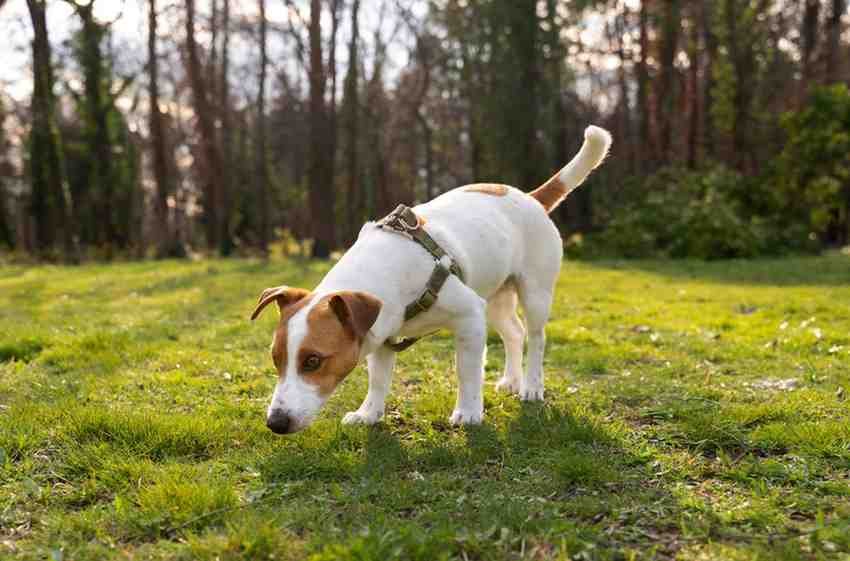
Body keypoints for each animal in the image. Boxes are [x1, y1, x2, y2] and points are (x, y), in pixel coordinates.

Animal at [250, 126, 608, 434]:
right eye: (275, 358)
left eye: (313, 361)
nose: (275, 423)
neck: (386, 270)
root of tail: (531, 197)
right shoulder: (383, 333)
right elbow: (378, 378)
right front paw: (369, 413)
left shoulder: (469, 317)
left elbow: (467, 371)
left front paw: (469, 412)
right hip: (495, 299)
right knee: (514, 333)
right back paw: (512, 380)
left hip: (534, 293)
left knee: (535, 337)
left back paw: (532, 386)